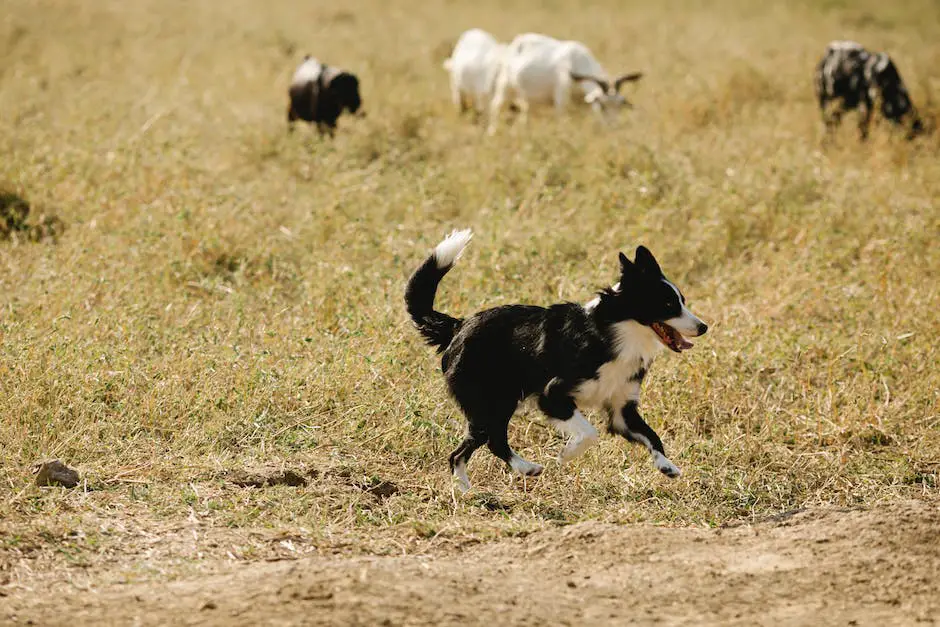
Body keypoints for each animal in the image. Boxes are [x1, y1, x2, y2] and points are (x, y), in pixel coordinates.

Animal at [404, 231, 704, 490]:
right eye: (668, 305)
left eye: (682, 300)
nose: (704, 327)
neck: (613, 334)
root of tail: (459, 325)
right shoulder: (552, 395)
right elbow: (589, 433)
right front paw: (567, 454)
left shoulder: (622, 410)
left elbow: (652, 436)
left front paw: (666, 465)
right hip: (493, 402)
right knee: (483, 444)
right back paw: (509, 475)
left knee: (472, 448)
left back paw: (478, 486)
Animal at [488, 33, 644, 134]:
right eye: (602, 105)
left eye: (619, 105)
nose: (612, 126)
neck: (576, 61)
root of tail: (516, 43)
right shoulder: (561, 102)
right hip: (504, 90)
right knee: (496, 108)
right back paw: (492, 132)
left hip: (527, 102)